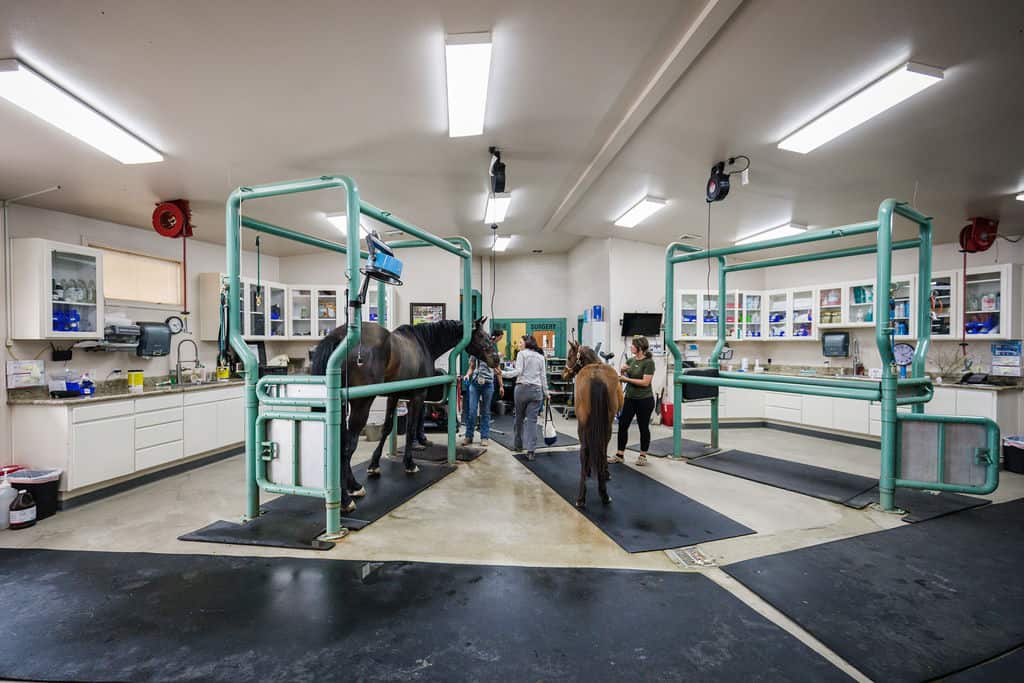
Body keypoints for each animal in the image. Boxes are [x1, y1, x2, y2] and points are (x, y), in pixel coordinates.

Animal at [313, 315, 501, 507]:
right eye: (482, 336)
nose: (497, 360)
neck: (424, 342)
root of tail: (338, 336)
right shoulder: (417, 396)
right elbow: (411, 429)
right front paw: (409, 464)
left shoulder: (394, 395)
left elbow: (387, 428)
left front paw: (374, 464)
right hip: (361, 405)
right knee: (348, 446)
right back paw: (345, 498)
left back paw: (353, 486)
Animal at [561, 339, 622, 507]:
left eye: (569, 356)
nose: (564, 373)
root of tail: (596, 377)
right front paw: (605, 472)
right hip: (603, 425)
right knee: (598, 448)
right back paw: (600, 492)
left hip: (585, 424)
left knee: (586, 450)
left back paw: (584, 496)